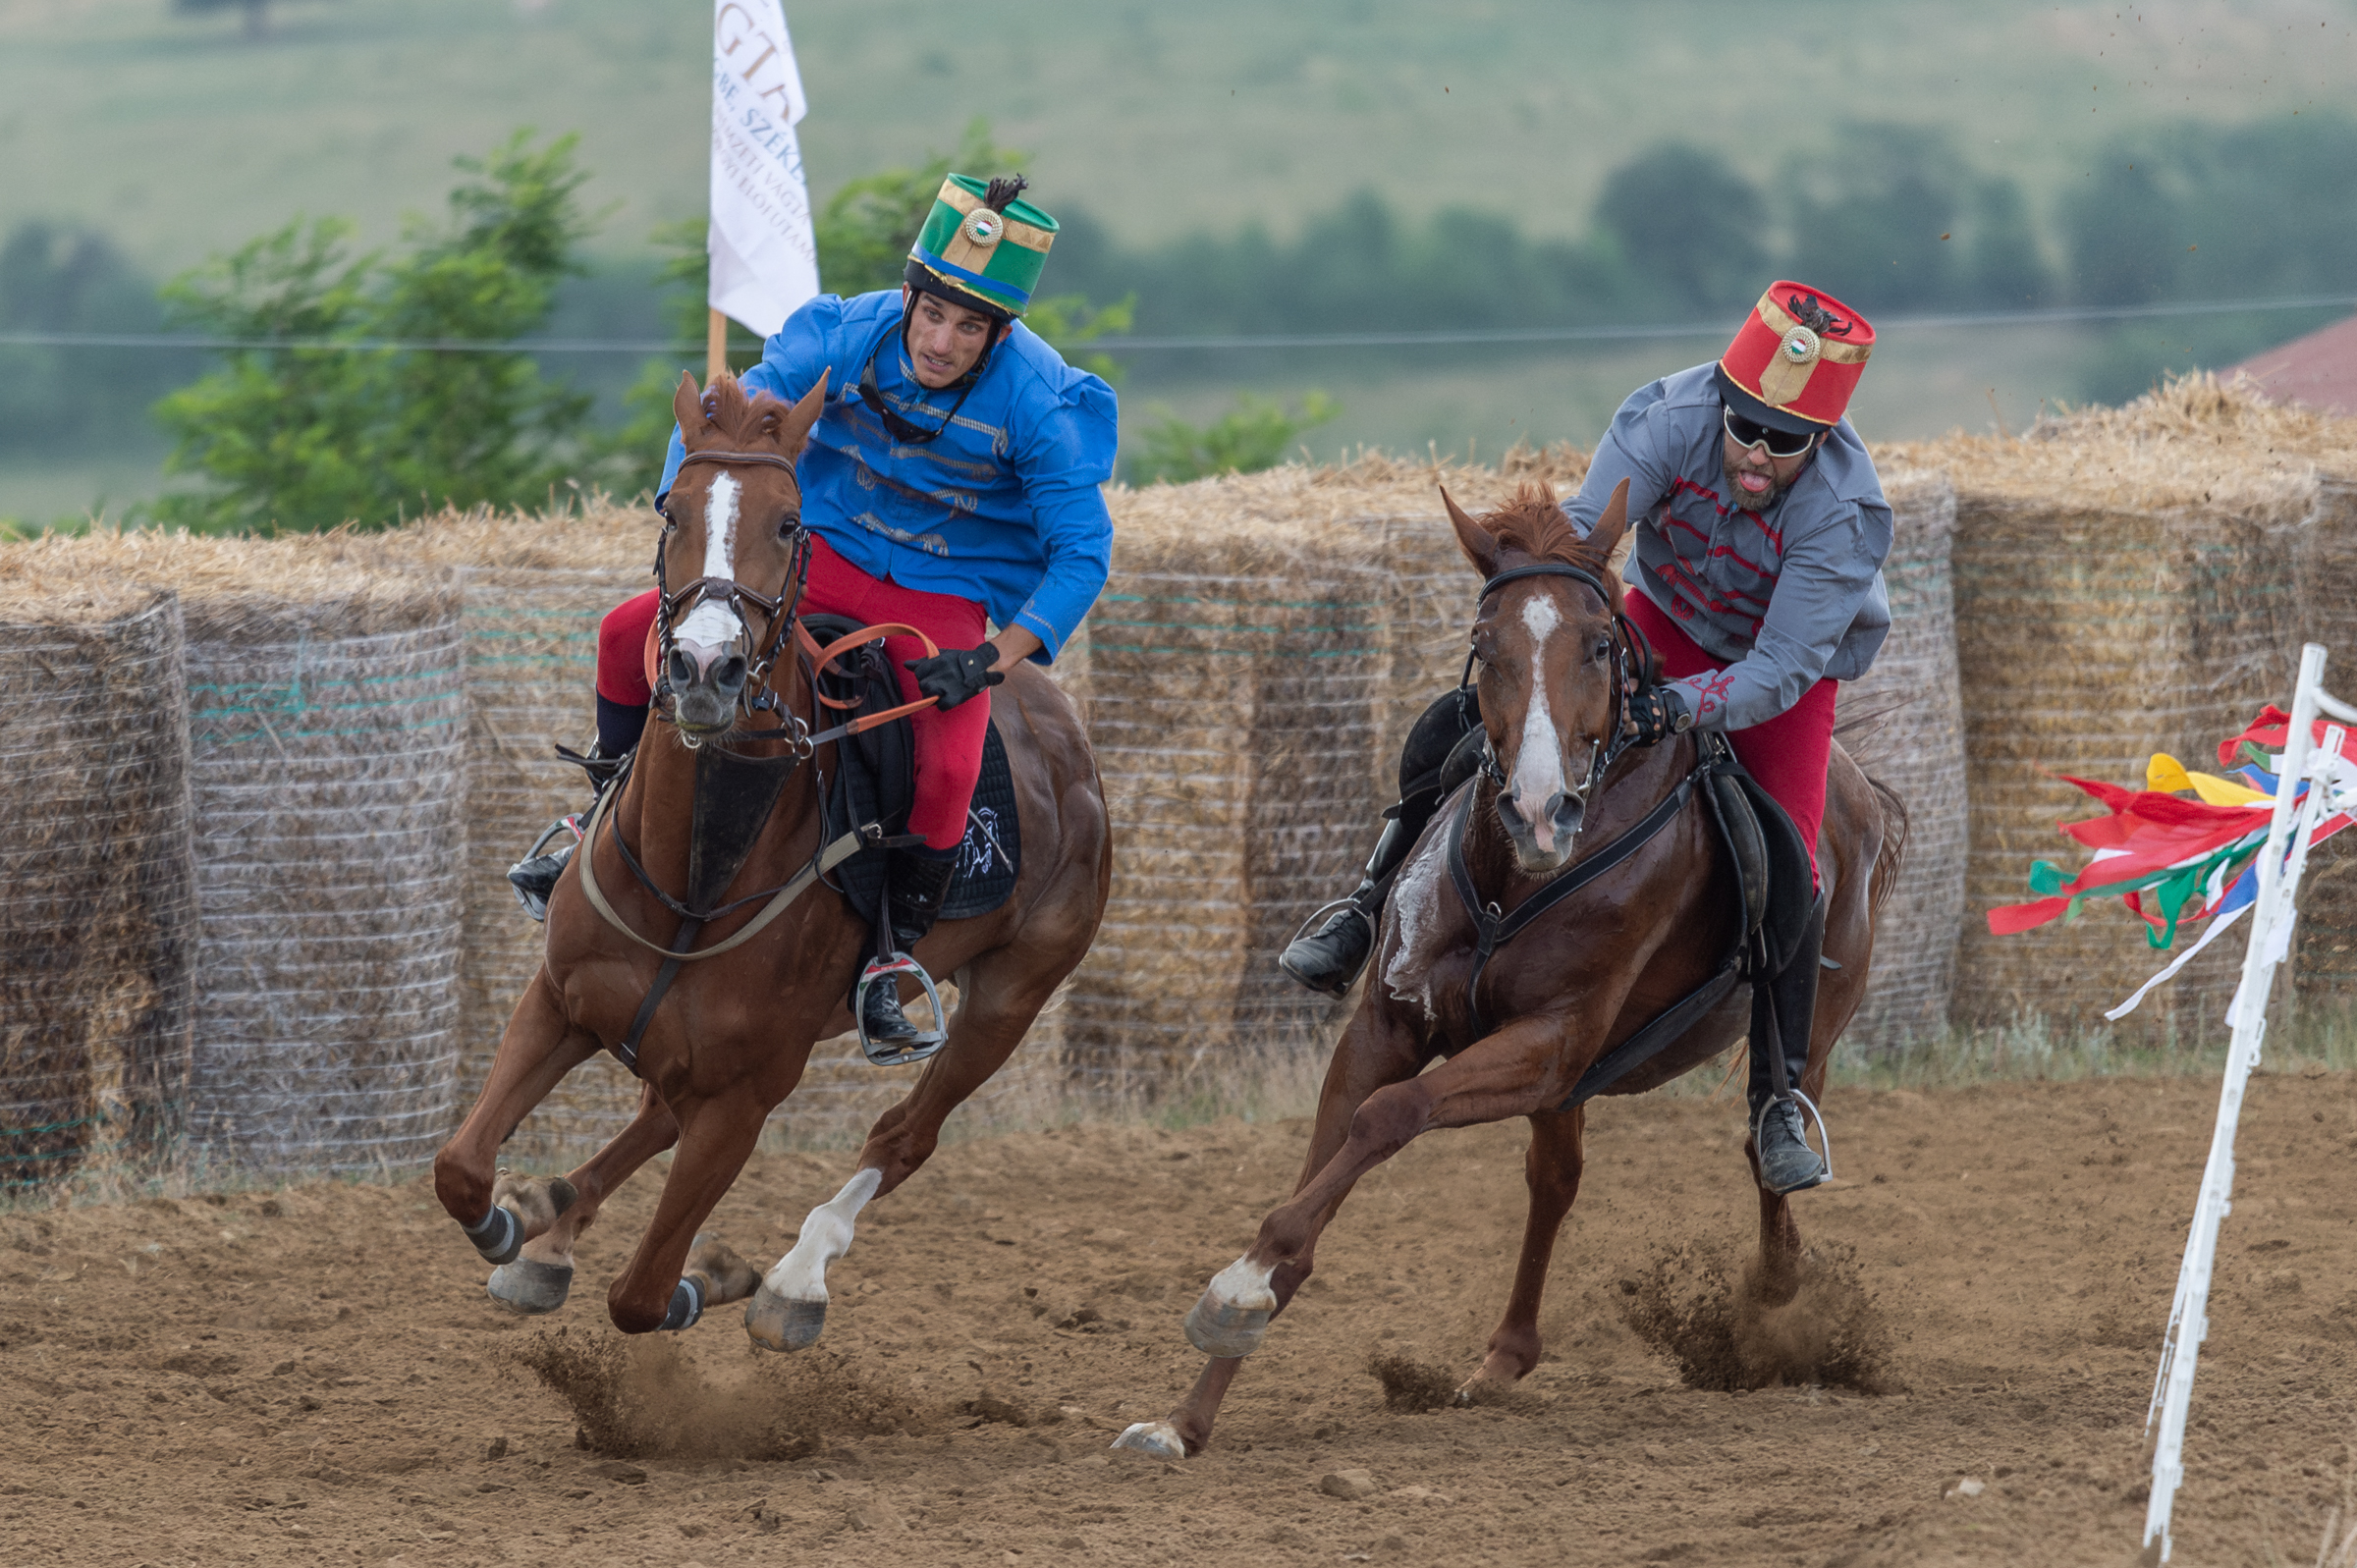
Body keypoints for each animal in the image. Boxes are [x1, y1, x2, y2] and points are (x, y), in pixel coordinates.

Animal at [433, 372, 1112, 1339]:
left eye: (791, 522)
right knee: (655, 1110)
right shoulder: (559, 1002)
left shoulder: (748, 1097)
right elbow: (460, 1167)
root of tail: (1072, 740)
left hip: (1011, 998)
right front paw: (507, 1221)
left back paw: (795, 1278)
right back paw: (551, 1229)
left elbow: (641, 1297)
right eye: (671, 508)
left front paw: (705, 1281)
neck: (697, 873)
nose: (703, 666)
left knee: (904, 1133)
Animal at [1112, 480, 1904, 1452]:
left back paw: (1779, 1306)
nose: (1537, 810)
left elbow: (1389, 1115)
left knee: (1767, 1146)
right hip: (1566, 1086)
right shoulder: (1392, 1025)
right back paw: (1505, 1358)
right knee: (1555, 1179)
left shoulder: (1549, 1042)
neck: (1510, 881)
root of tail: (1863, 788)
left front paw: (1235, 1291)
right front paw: (1192, 1407)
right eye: (1484, 643)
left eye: (1600, 643)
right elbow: (1325, 1170)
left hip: (1801, 1036)